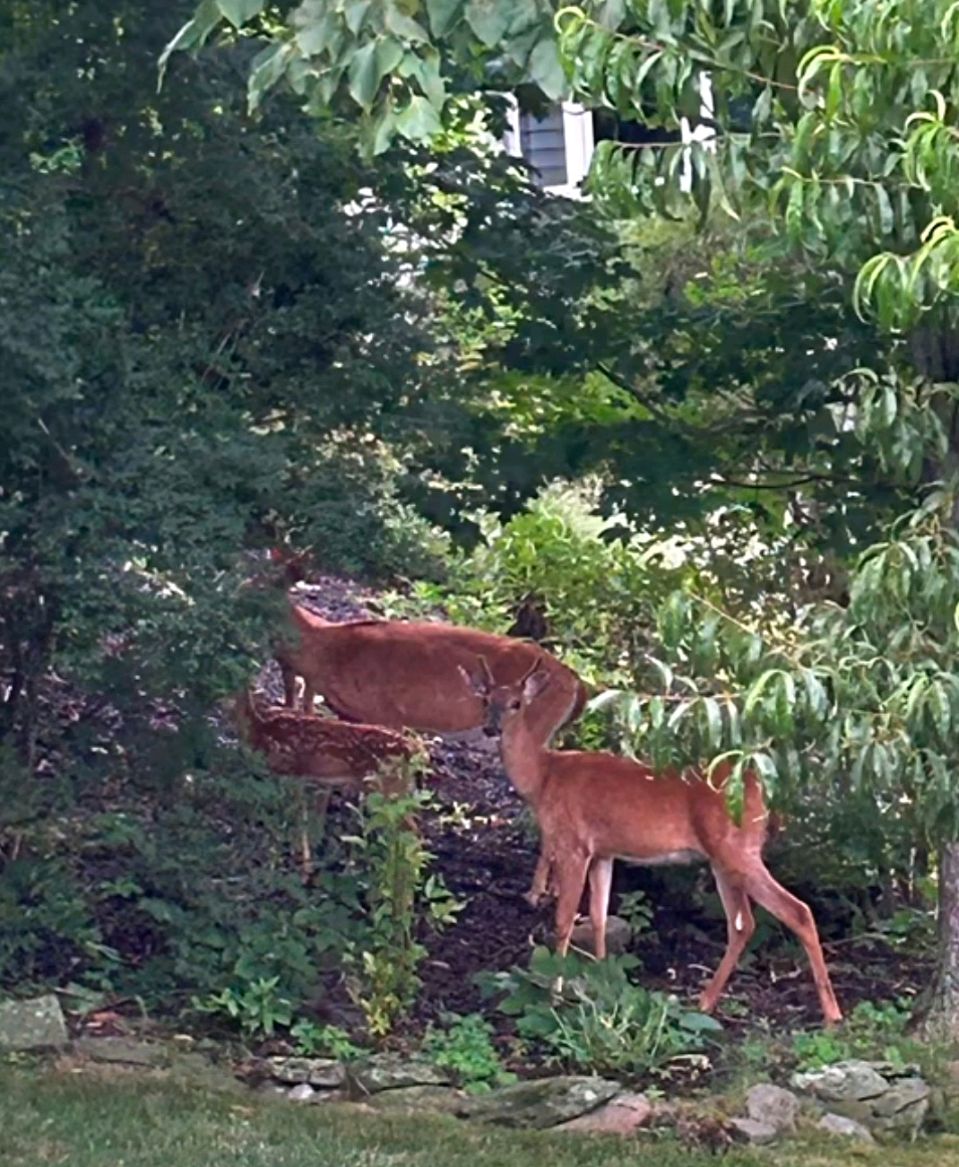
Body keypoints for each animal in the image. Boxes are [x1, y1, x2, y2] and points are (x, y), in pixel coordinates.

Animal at [462, 658, 843, 1026]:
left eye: (515, 703)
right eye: (486, 700)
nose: (491, 728)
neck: (544, 778)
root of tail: (761, 790)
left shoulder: (573, 844)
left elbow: (564, 920)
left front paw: (555, 995)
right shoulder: (603, 852)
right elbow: (599, 917)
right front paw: (604, 983)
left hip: (736, 850)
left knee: (797, 911)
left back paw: (832, 1014)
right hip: (723, 857)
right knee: (743, 924)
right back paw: (704, 1001)